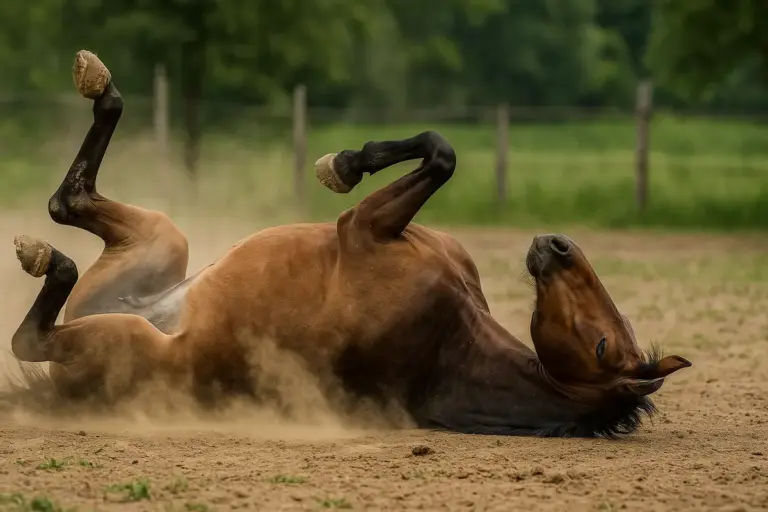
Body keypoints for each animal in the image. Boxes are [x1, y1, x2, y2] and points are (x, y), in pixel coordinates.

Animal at [10, 51, 691, 437]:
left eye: (603, 344)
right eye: (614, 329)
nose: (559, 244)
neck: (453, 333)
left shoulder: (361, 228)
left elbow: (440, 156)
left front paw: (342, 163)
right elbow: (441, 146)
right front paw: (344, 161)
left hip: (121, 337)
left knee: (32, 332)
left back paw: (49, 257)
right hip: (162, 241)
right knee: (68, 201)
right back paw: (98, 86)